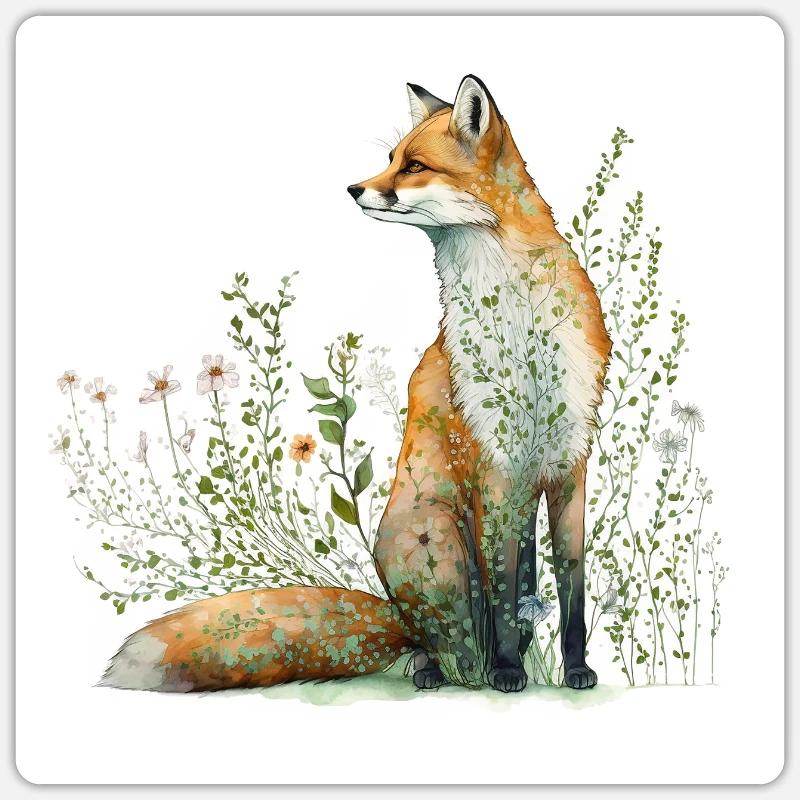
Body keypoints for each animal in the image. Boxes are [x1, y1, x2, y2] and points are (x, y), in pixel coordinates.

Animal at [100, 75, 610, 694]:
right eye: (389, 159)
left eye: (413, 165)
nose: (353, 188)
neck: (520, 325)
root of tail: (393, 608)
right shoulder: (493, 469)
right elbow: (502, 596)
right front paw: (510, 671)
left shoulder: (568, 464)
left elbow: (572, 593)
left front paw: (577, 669)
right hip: (440, 540)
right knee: (434, 639)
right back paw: (446, 670)